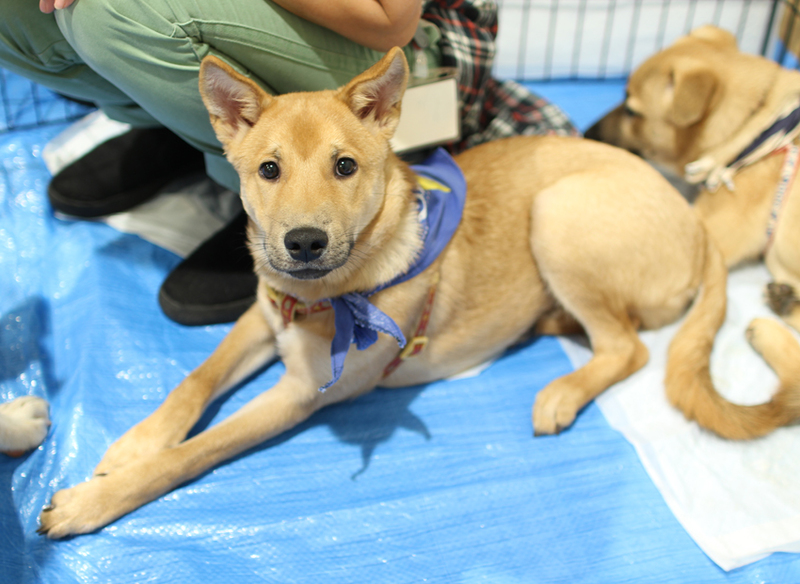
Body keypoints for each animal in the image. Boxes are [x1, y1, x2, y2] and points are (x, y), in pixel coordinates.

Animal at [36, 47, 800, 538]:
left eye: (345, 166)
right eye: (269, 170)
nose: (303, 243)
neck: (330, 290)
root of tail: (696, 223)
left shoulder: (302, 393)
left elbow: (195, 452)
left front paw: (90, 501)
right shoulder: (263, 312)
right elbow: (194, 380)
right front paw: (133, 442)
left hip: (559, 213)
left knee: (629, 349)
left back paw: (561, 391)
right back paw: (548, 326)